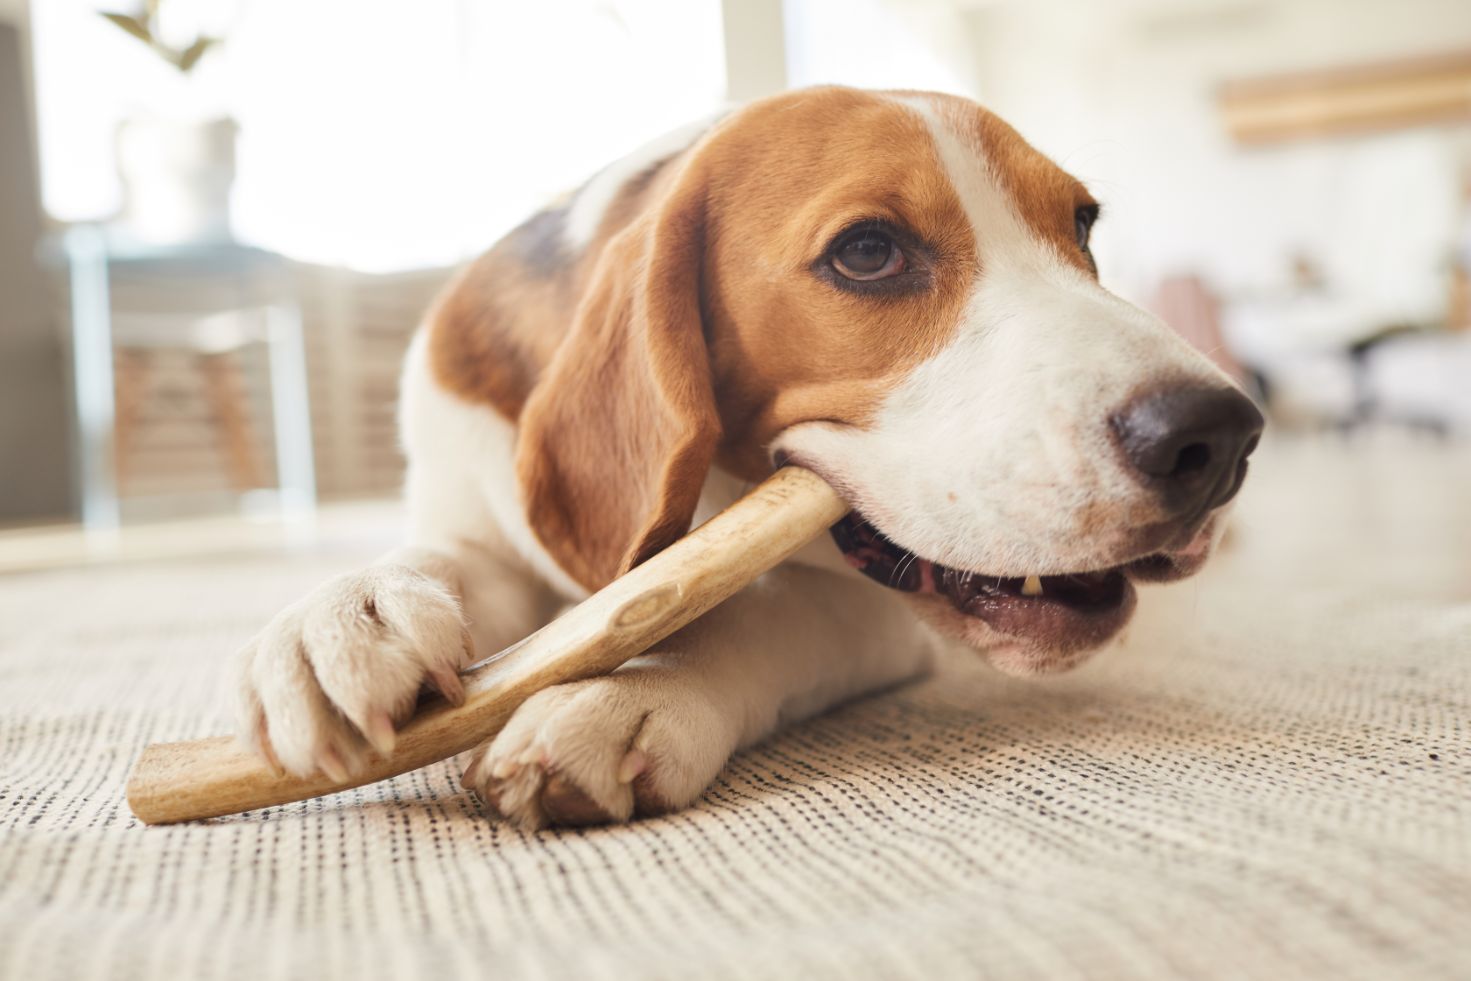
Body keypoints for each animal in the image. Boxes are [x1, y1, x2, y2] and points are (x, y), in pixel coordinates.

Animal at [232, 88, 1265, 835]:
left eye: (1082, 226)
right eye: (867, 252)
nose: (1218, 436)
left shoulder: (861, 607)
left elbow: (754, 611)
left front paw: (625, 692)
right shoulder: (471, 519)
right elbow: (435, 564)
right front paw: (343, 618)